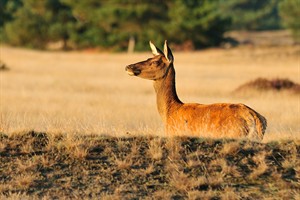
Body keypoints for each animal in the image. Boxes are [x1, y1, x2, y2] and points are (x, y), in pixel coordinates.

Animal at [125, 40, 268, 141]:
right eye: (149, 58)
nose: (128, 67)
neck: (169, 112)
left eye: (155, 62)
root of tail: (254, 118)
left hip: (234, 134)